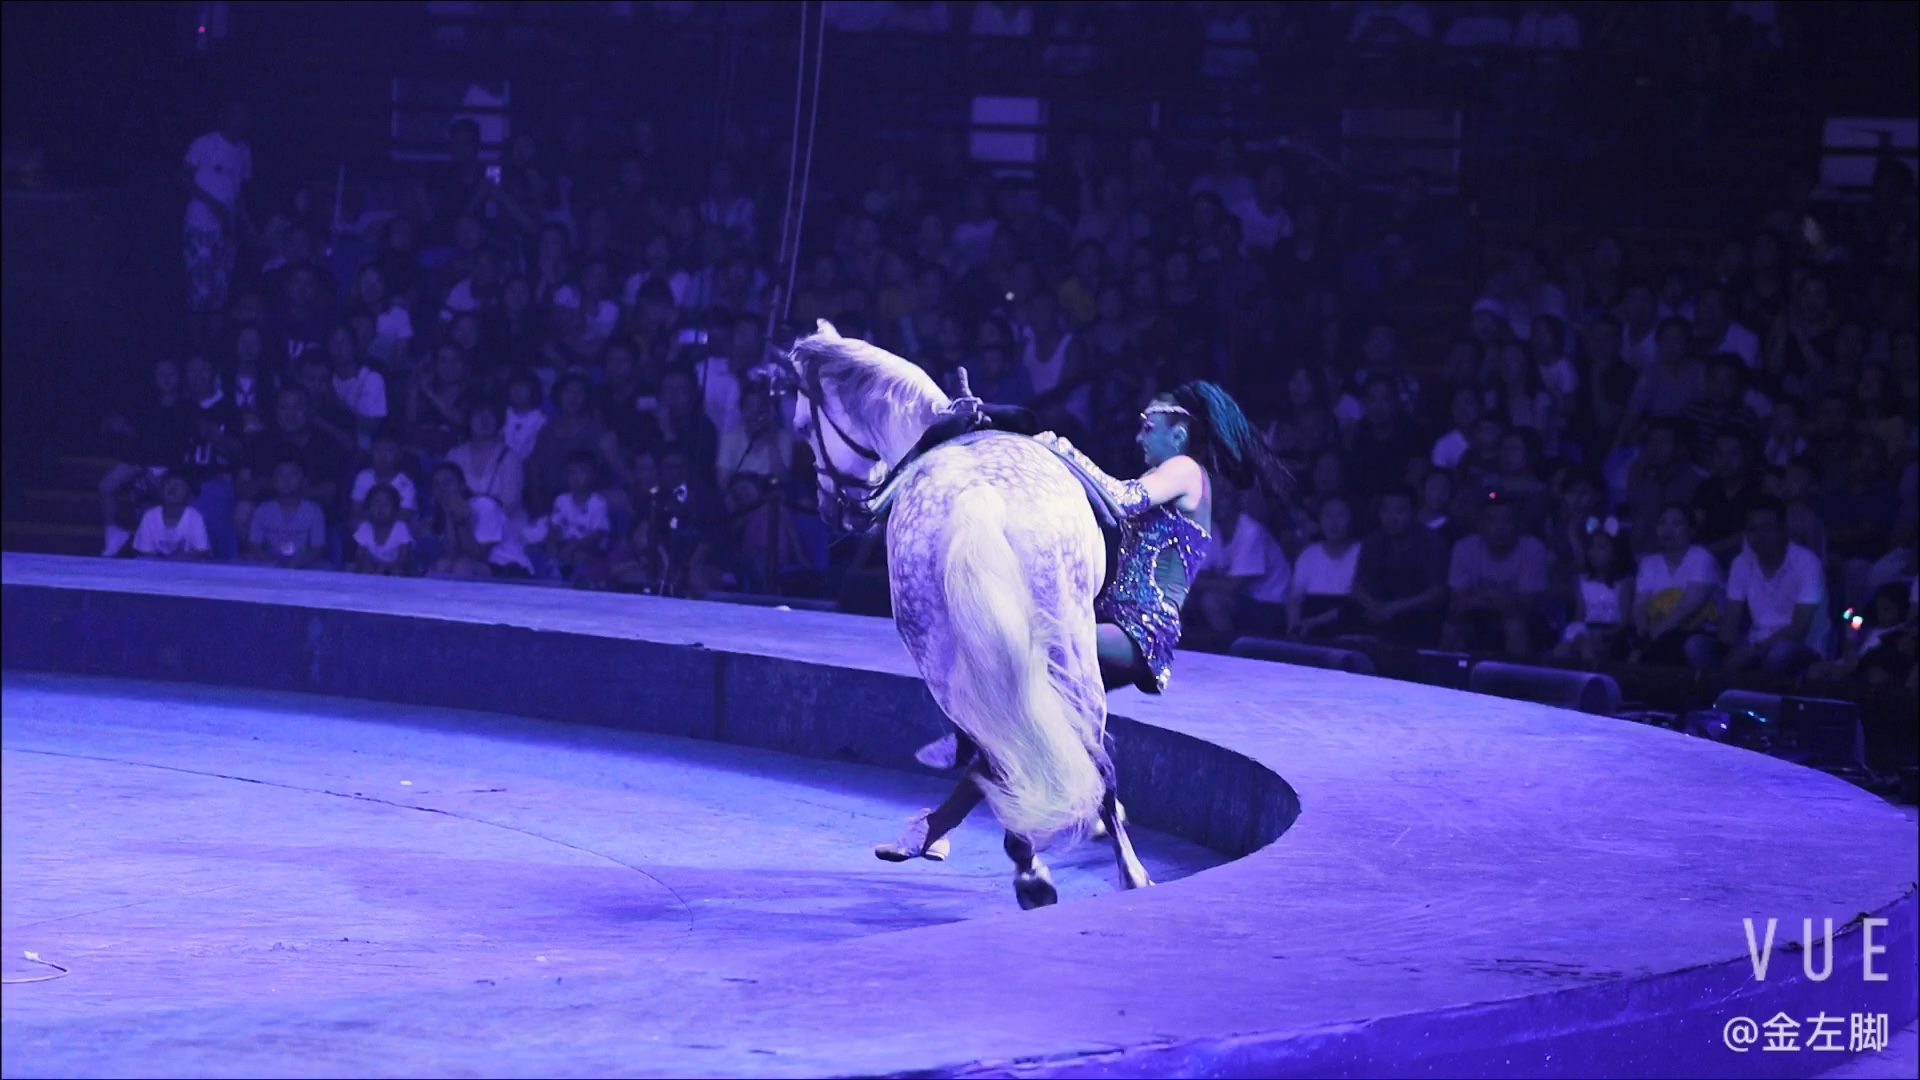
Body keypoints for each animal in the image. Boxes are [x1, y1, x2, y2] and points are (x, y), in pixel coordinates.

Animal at [783, 320, 1152, 907]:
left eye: (801, 426)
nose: (828, 506)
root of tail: (978, 497)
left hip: (947, 646)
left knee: (1022, 740)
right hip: (1063, 643)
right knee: (1079, 745)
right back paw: (1083, 865)